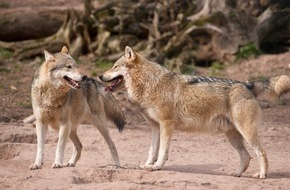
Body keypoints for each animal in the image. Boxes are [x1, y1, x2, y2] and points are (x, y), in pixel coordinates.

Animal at [99, 45, 290, 178]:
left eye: (115, 66)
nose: (99, 76)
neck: (149, 84)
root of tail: (248, 84)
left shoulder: (167, 125)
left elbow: (162, 151)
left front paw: (157, 166)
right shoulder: (155, 127)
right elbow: (152, 150)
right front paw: (148, 165)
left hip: (246, 132)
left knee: (261, 152)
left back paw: (262, 175)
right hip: (233, 136)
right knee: (246, 157)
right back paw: (237, 174)